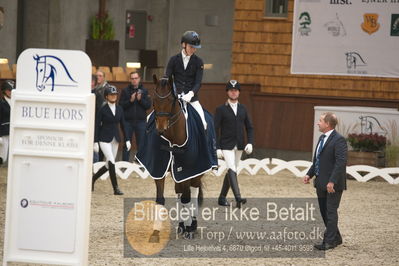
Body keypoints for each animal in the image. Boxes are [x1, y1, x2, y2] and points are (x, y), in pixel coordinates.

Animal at [149, 74, 203, 241]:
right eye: (154, 99)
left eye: (169, 100)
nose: (160, 129)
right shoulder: (159, 169)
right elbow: (160, 199)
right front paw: (155, 231)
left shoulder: (186, 171)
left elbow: (187, 198)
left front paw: (189, 229)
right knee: (180, 193)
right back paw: (181, 225)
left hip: (196, 172)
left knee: (193, 193)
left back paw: (192, 225)